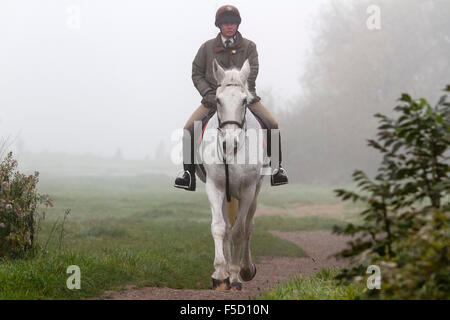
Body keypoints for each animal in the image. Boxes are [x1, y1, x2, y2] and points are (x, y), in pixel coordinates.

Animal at [195, 58, 268, 290]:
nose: (229, 144)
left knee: (248, 227)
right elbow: (220, 228)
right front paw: (220, 273)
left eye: (244, 101)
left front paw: (237, 274)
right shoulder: (215, 187)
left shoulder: (247, 190)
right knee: (228, 227)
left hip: (255, 191)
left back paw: (243, 270)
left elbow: (239, 231)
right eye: (218, 100)